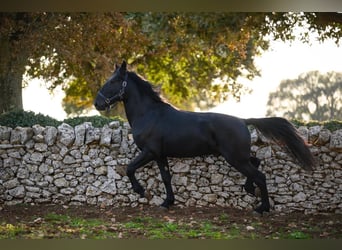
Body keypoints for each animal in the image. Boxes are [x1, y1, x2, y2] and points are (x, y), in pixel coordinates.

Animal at [94, 61, 316, 215]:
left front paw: (140, 191)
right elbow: (166, 177)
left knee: (260, 176)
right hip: (239, 157)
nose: (97, 103)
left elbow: (130, 168)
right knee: (256, 163)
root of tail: (243, 121)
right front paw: (167, 202)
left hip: (235, 158)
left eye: (113, 81)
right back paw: (249, 189)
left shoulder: (150, 152)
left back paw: (262, 208)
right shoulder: (160, 155)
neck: (149, 114)